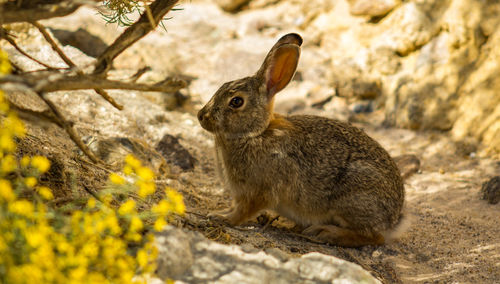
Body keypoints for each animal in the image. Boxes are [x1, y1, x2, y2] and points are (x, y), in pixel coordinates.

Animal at [197, 32, 404, 246]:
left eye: (236, 102)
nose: (201, 116)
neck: (255, 133)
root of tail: (394, 219)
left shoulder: (258, 191)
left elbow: (242, 212)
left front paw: (221, 217)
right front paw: (221, 212)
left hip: (354, 198)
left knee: (373, 237)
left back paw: (325, 232)